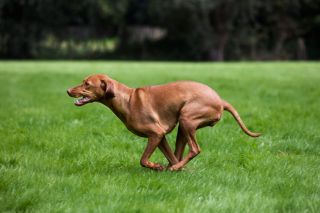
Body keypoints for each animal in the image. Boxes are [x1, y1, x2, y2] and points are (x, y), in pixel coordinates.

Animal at [67, 74, 260, 171]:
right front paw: (171, 168)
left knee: (195, 149)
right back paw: (177, 168)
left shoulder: (156, 134)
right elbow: (171, 156)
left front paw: (156, 166)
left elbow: (143, 160)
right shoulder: (160, 138)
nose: (68, 90)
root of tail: (220, 101)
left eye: (87, 84)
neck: (127, 100)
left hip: (187, 118)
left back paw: (174, 168)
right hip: (183, 126)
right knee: (179, 154)